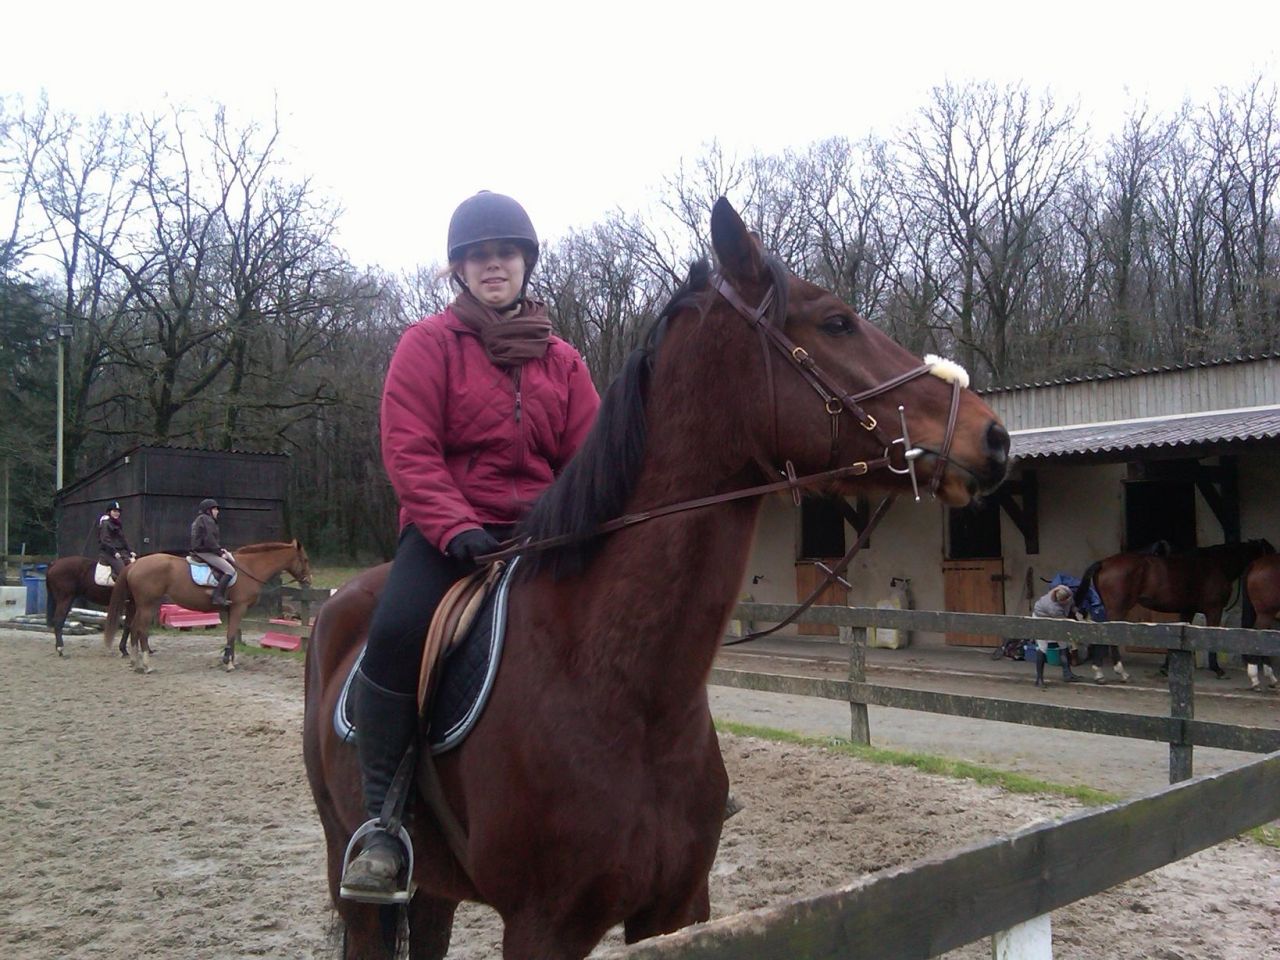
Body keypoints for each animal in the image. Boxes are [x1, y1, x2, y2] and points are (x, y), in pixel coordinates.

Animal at [102, 540, 312, 674]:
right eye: (305, 560)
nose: (309, 581)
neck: (249, 568)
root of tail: (134, 565)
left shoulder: (232, 610)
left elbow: (231, 635)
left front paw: (230, 660)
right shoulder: (239, 608)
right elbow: (231, 634)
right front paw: (228, 663)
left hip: (138, 605)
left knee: (133, 628)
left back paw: (135, 663)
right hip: (147, 605)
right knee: (141, 630)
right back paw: (146, 665)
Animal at [302, 197, 1010, 959]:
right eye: (836, 322)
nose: (994, 437)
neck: (621, 684)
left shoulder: (678, 907)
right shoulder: (541, 925)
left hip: (436, 887)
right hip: (349, 866)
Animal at [1076, 539, 1275, 681]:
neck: (1216, 564)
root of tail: (1104, 563)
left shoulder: (1187, 610)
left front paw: (1166, 668)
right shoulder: (1214, 610)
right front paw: (1218, 669)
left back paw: (1099, 672)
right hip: (1117, 609)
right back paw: (1120, 672)